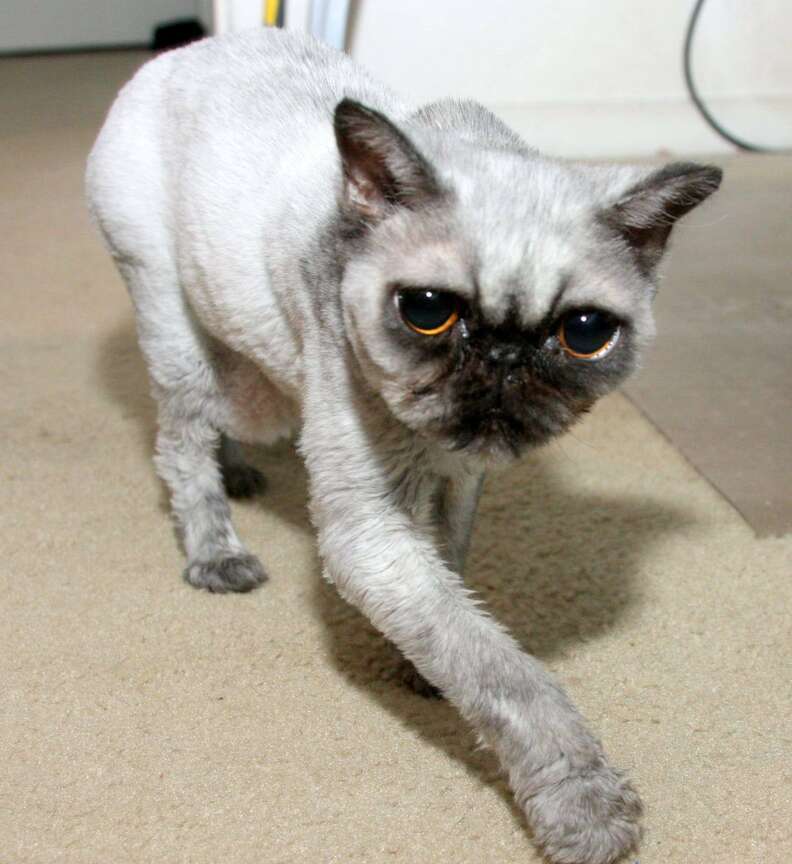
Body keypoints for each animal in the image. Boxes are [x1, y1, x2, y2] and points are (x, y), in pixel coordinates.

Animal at [88, 30, 724, 864]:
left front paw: (417, 667)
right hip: (194, 345)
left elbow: (450, 585)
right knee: (177, 444)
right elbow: (503, 671)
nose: (503, 358)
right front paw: (586, 812)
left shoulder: (459, 479)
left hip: (253, 373)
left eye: (584, 333)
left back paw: (241, 475)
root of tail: (190, 46)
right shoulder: (369, 531)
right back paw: (215, 554)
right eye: (426, 311)